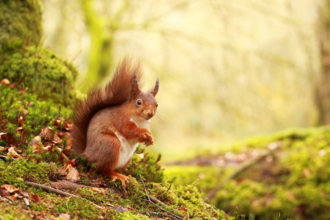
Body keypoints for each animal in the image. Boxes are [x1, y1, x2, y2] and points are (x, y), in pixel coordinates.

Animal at [71, 57, 159, 185]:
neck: (140, 121)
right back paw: (118, 176)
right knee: (103, 170)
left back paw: (128, 176)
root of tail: (86, 155)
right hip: (110, 144)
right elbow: (128, 130)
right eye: (139, 102)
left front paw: (151, 138)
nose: (150, 114)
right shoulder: (120, 118)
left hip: (127, 159)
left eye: (157, 104)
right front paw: (143, 132)